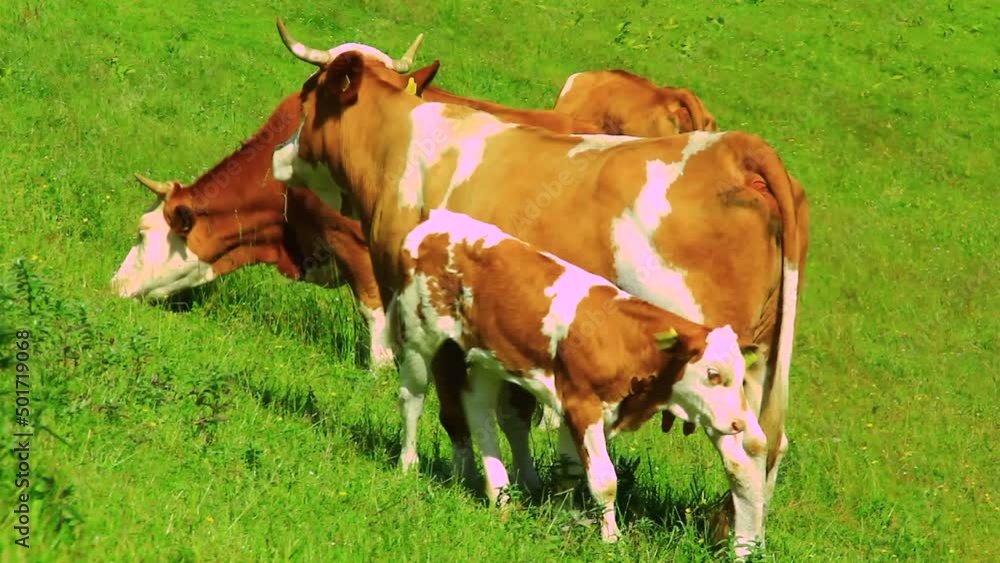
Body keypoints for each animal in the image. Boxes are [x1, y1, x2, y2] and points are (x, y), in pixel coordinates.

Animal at [396, 208, 754, 542]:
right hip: (418, 337)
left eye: (740, 377)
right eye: (712, 373)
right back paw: (409, 464)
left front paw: (564, 517)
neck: (620, 336)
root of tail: (437, 219)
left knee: (477, 411)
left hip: (484, 358)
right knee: (413, 398)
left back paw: (499, 496)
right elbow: (605, 480)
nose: (739, 424)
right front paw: (611, 538)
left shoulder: (574, 406)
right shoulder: (583, 404)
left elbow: (569, 470)